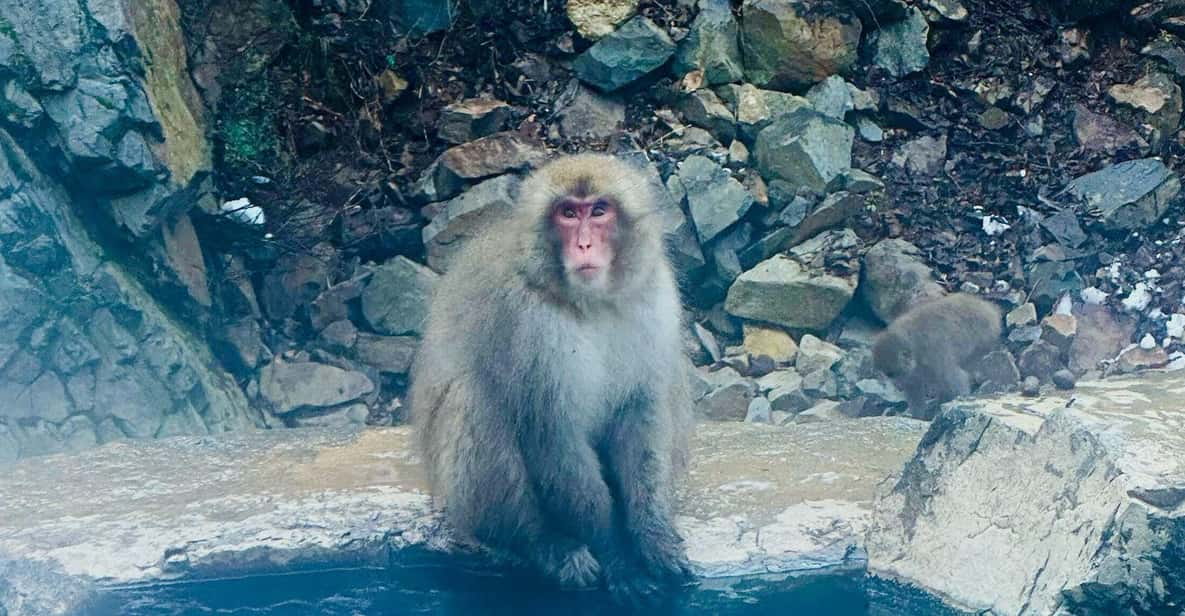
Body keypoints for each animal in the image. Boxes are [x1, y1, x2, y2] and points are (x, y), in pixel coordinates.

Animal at [408, 154, 694, 602]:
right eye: (568, 214)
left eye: (599, 211)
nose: (584, 245)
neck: (589, 303)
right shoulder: (527, 322)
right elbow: (550, 430)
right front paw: (616, 555)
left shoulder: (653, 296)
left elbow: (641, 411)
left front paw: (653, 537)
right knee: (474, 401)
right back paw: (541, 543)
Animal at [871, 293, 1002, 418]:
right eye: (888, 375)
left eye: (894, 374)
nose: (898, 386)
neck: (915, 349)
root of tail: (988, 308)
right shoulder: (913, 372)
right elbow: (914, 388)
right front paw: (916, 415)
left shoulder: (933, 355)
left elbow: (955, 378)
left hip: (983, 336)